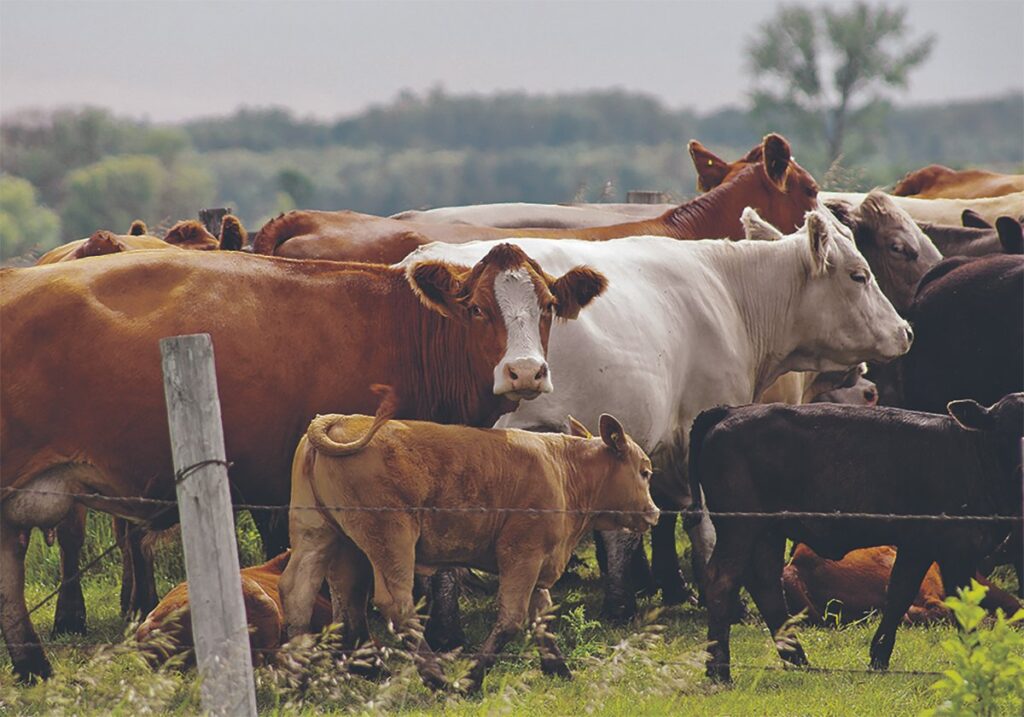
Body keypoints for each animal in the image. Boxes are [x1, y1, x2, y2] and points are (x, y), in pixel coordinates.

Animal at [280, 387, 659, 692]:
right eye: (644, 472)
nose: (654, 512)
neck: (563, 468)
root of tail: (339, 420)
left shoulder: (539, 564)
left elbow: (542, 617)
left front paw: (559, 668)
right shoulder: (522, 554)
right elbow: (512, 618)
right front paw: (473, 678)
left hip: (320, 534)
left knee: (305, 593)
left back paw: (302, 677)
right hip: (390, 538)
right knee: (396, 606)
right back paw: (435, 676)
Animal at [401, 208, 912, 623]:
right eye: (859, 275)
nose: (905, 330)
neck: (729, 293)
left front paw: (633, 599)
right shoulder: (698, 427)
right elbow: (703, 524)